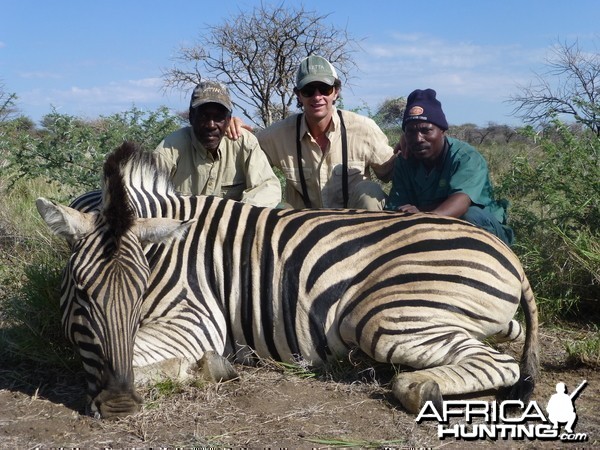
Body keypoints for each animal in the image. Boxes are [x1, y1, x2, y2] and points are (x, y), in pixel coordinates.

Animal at [36, 142, 540, 420]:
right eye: (82, 295)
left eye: (140, 291)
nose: (119, 405)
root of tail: (510, 256)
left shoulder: (197, 320)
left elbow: (140, 350)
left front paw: (207, 367)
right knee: (503, 340)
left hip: (384, 318)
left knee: (495, 364)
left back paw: (420, 388)